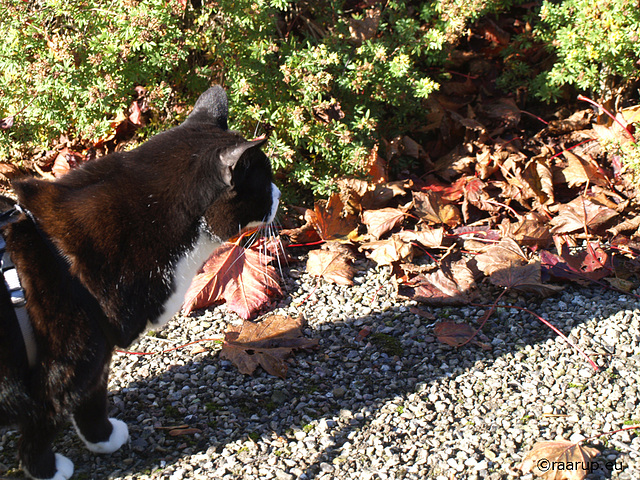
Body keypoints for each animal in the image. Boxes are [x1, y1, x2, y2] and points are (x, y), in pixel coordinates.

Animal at [0, 87, 280, 480]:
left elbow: (88, 402)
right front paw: (57, 466)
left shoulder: (95, 358)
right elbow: (55, 423)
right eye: (264, 179)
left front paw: (99, 441)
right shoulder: (64, 375)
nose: (280, 194)